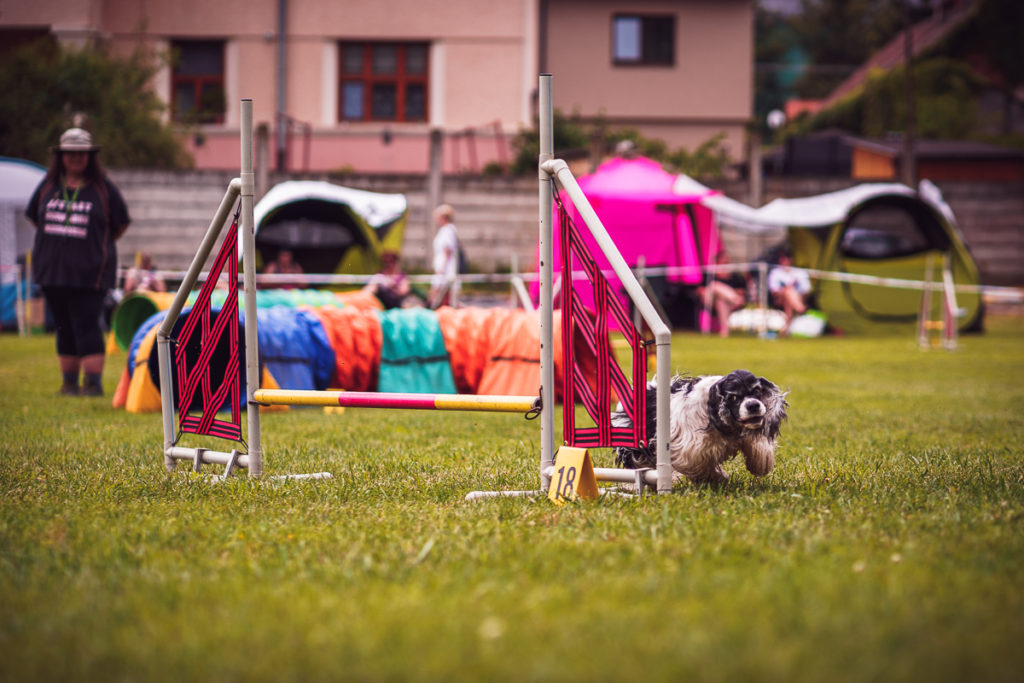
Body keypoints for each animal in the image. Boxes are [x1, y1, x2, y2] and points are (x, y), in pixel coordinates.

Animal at [610, 368, 786, 485]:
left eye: (757, 390)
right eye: (734, 397)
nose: (753, 406)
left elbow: (756, 442)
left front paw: (760, 463)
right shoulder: (691, 450)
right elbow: (700, 465)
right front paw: (718, 477)